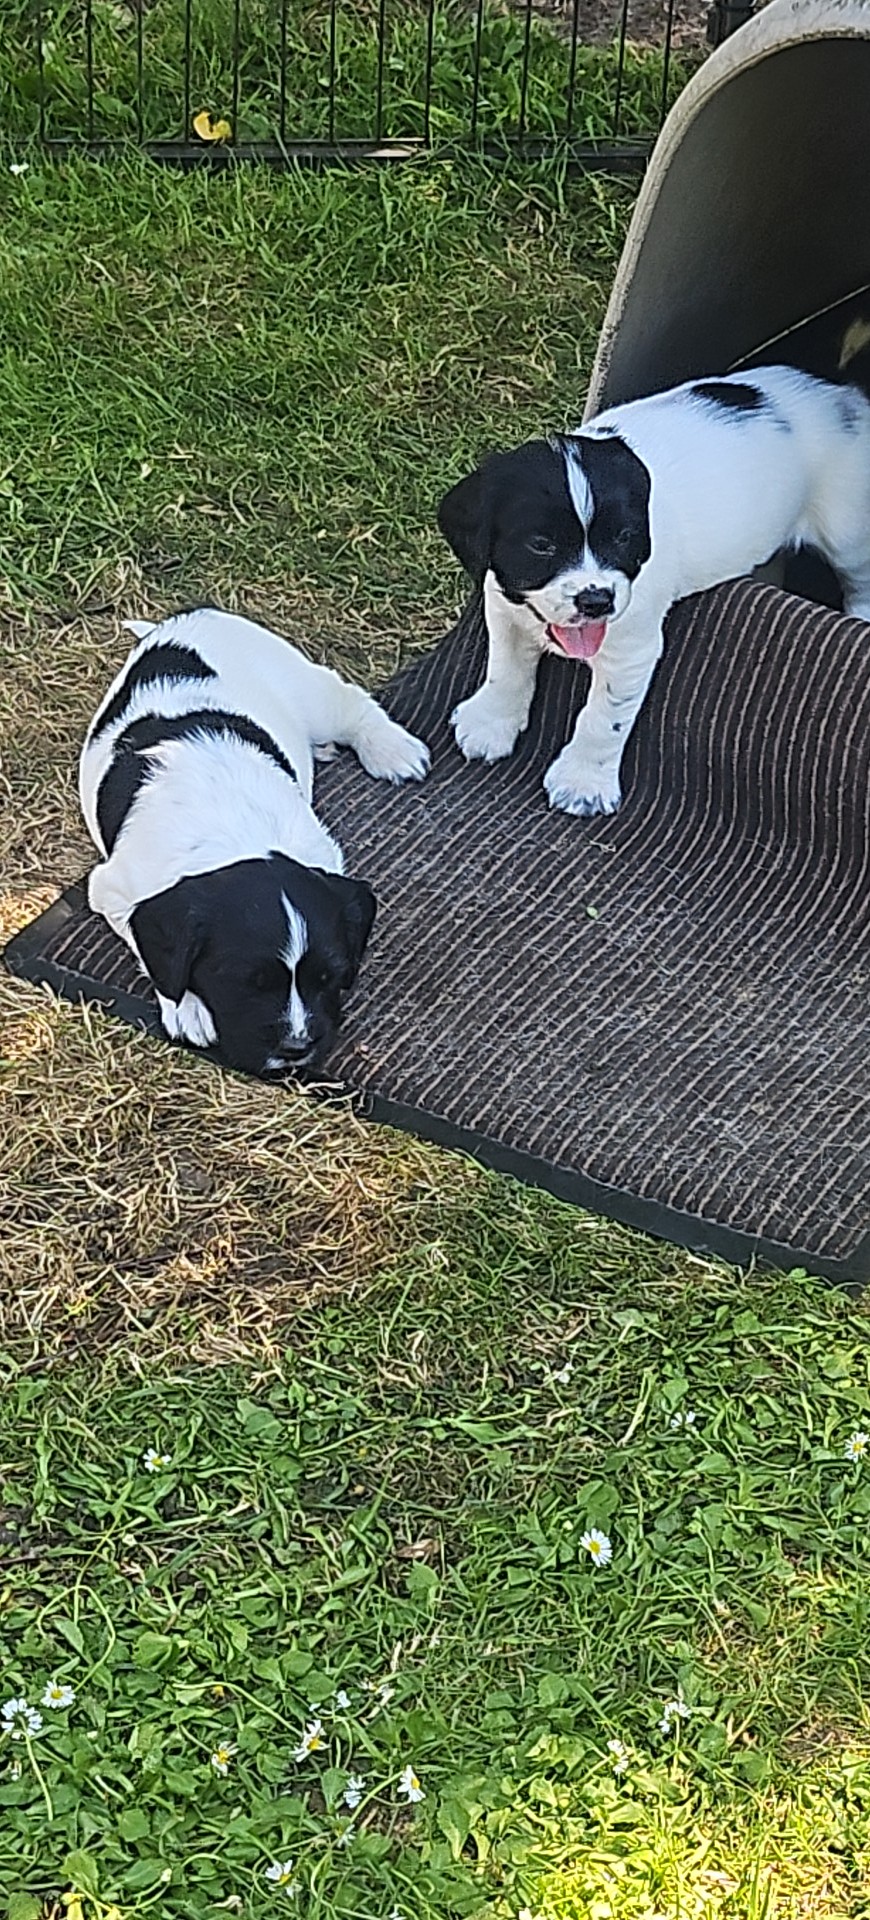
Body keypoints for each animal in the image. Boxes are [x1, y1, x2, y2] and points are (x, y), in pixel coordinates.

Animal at [79, 608, 430, 1077]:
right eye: (246, 982)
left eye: (329, 977)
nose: (297, 1048)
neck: (239, 834)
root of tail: (195, 613)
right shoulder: (113, 889)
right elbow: (156, 956)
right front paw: (186, 1007)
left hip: (310, 693)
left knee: (350, 702)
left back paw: (392, 750)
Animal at [437, 364, 870, 816]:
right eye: (541, 545)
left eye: (625, 537)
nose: (596, 601)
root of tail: (840, 392)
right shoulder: (504, 606)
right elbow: (506, 669)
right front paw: (490, 723)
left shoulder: (631, 650)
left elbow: (602, 720)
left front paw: (582, 782)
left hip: (847, 531)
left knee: (859, 578)